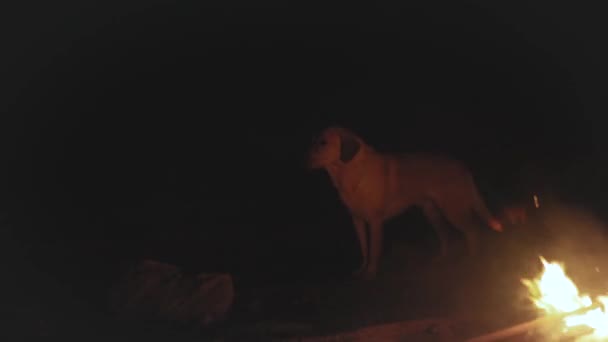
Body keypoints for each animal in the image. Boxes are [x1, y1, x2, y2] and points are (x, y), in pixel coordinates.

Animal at [308, 125, 504, 278]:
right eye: (315, 140)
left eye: (323, 143)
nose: (304, 157)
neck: (351, 173)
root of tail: (463, 166)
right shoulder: (357, 220)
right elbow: (364, 250)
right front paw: (361, 270)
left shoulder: (375, 222)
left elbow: (374, 251)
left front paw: (371, 273)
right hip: (432, 212)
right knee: (445, 235)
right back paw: (442, 259)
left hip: (452, 210)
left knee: (473, 231)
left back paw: (472, 260)